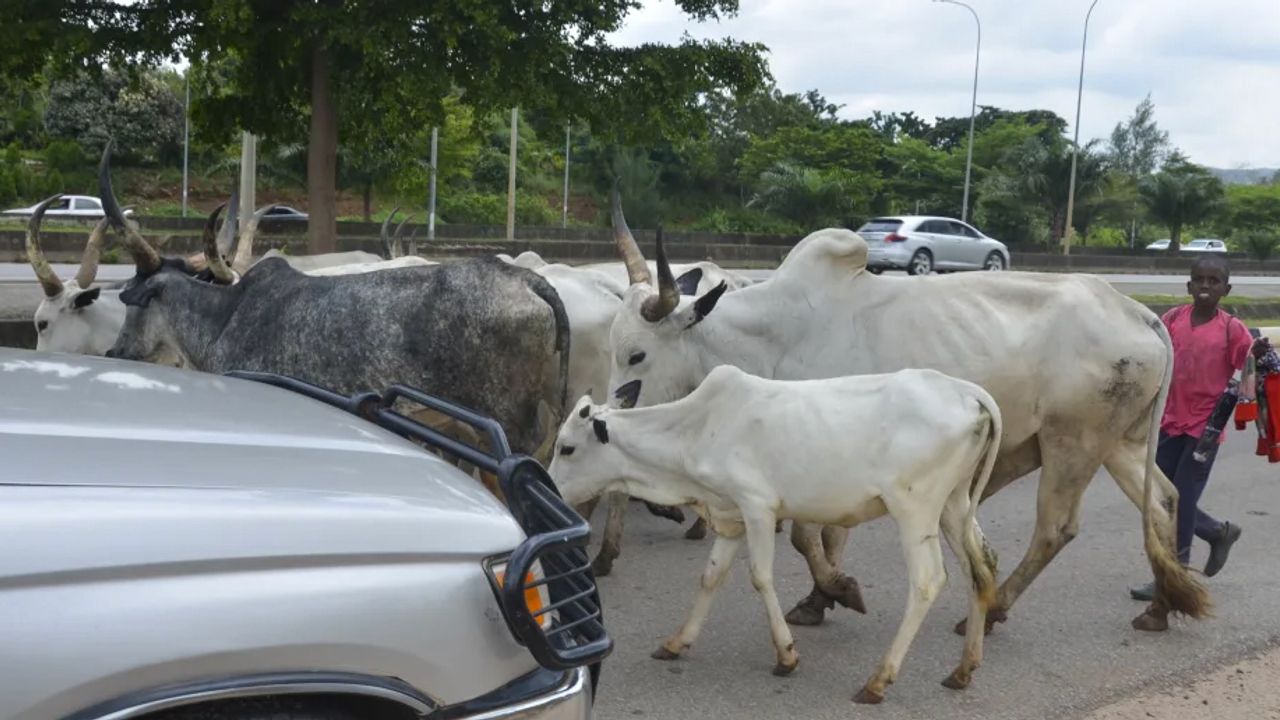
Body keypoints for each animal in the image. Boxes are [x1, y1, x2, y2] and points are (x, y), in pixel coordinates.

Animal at [545, 363, 1003, 702]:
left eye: (567, 447)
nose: (552, 492)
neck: (695, 430)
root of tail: (965, 391)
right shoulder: (730, 517)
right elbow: (710, 577)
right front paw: (677, 642)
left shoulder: (758, 508)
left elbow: (761, 578)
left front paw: (786, 655)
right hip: (954, 505)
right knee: (979, 570)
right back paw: (963, 669)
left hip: (914, 509)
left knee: (928, 581)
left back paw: (878, 680)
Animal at [604, 192, 1213, 632]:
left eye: (636, 355)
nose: (606, 423)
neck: (770, 336)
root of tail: (1136, 309)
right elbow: (819, 538)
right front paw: (820, 598)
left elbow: (810, 537)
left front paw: (837, 590)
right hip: (1121, 440)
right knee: (1163, 501)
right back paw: (1160, 606)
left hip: (1073, 442)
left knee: (1056, 528)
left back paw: (994, 609)